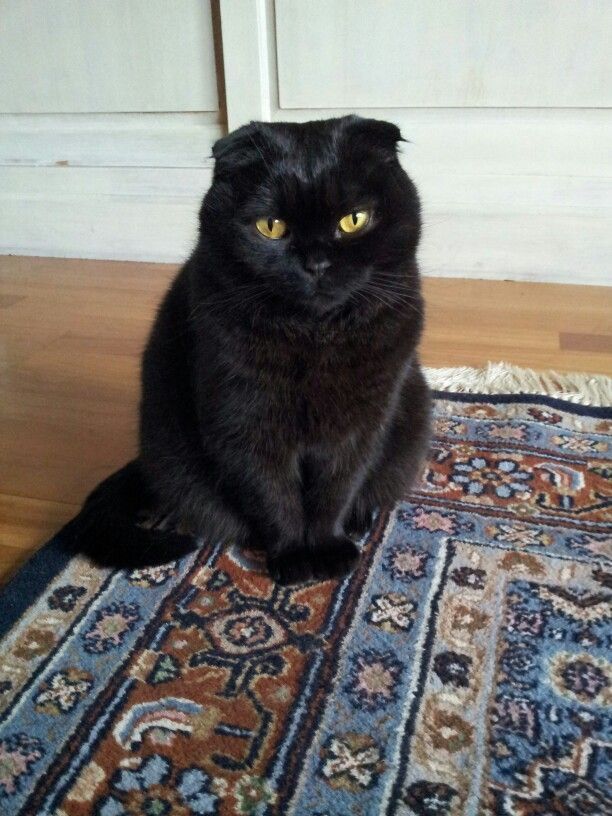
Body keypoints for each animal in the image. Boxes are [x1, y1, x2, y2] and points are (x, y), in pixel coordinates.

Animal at [74, 116, 430, 588]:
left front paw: (327, 549)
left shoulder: (361, 425)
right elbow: (272, 495)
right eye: (270, 227)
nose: (316, 264)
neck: (314, 338)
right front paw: (295, 558)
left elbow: (336, 488)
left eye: (353, 220)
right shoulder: (244, 422)